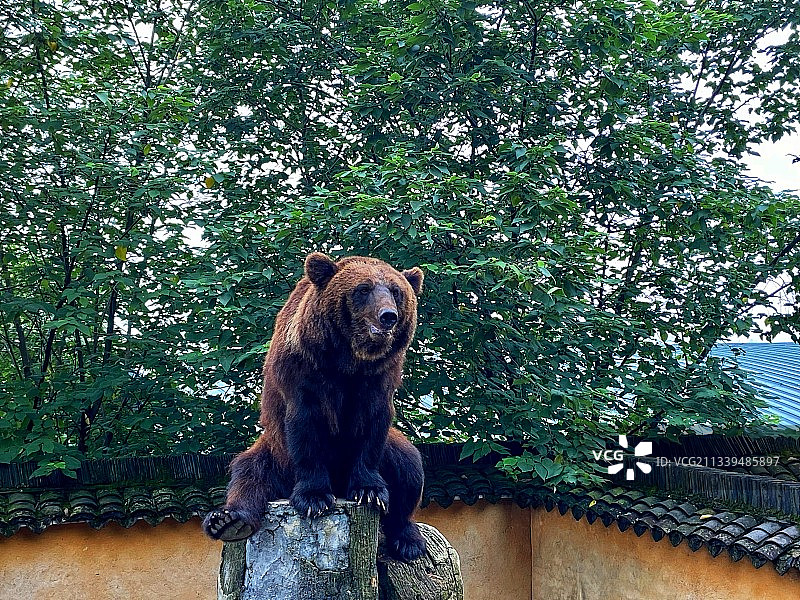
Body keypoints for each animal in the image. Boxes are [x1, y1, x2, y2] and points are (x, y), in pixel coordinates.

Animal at [203, 252, 427, 562]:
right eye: (363, 289)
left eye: (396, 291)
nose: (388, 316)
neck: (349, 360)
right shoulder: (304, 373)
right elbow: (306, 430)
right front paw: (314, 498)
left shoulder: (378, 380)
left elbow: (372, 429)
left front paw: (368, 491)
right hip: (274, 453)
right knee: (249, 474)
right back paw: (228, 521)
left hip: (392, 452)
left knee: (409, 468)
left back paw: (408, 540)